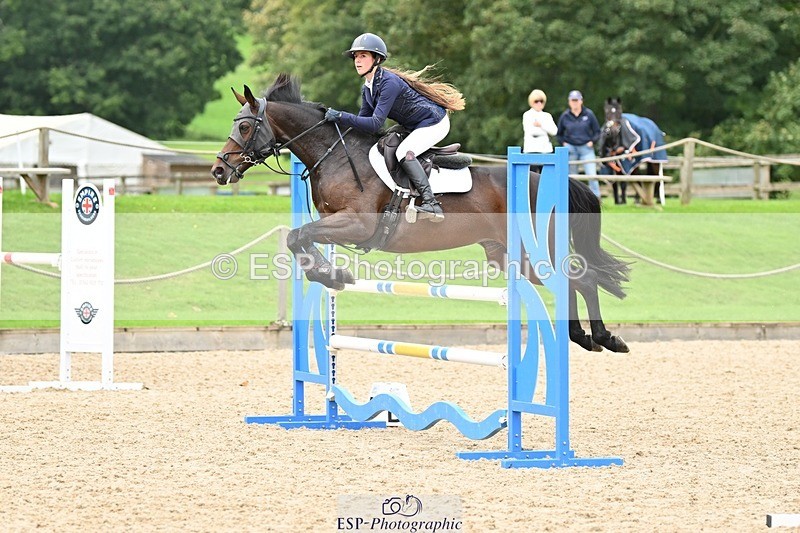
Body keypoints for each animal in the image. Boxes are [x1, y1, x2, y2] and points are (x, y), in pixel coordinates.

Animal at [210, 74, 631, 353]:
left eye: (245, 126)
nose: (217, 170)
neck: (334, 155)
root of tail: (544, 179)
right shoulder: (337, 224)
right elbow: (299, 238)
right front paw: (330, 274)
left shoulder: (358, 224)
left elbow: (299, 236)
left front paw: (332, 275)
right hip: (512, 256)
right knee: (571, 282)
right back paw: (583, 336)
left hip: (534, 251)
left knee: (582, 278)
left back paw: (605, 338)